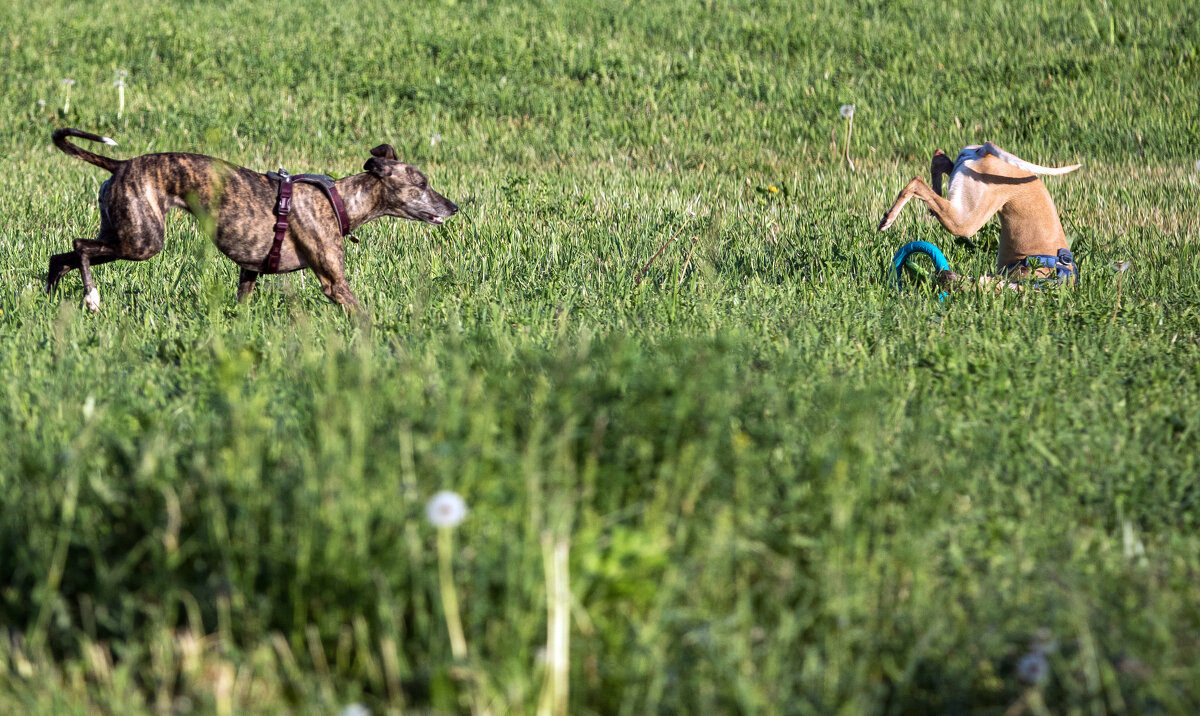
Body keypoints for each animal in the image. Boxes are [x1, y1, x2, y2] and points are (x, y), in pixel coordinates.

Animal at [49, 127, 456, 309]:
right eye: (422, 183)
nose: (454, 207)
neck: (340, 200)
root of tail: (120, 164)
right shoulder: (334, 283)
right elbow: (363, 314)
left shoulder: (250, 271)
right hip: (142, 241)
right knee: (79, 246)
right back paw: (91, 297)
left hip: (122, 233)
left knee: (61, 258)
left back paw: (50, 301)